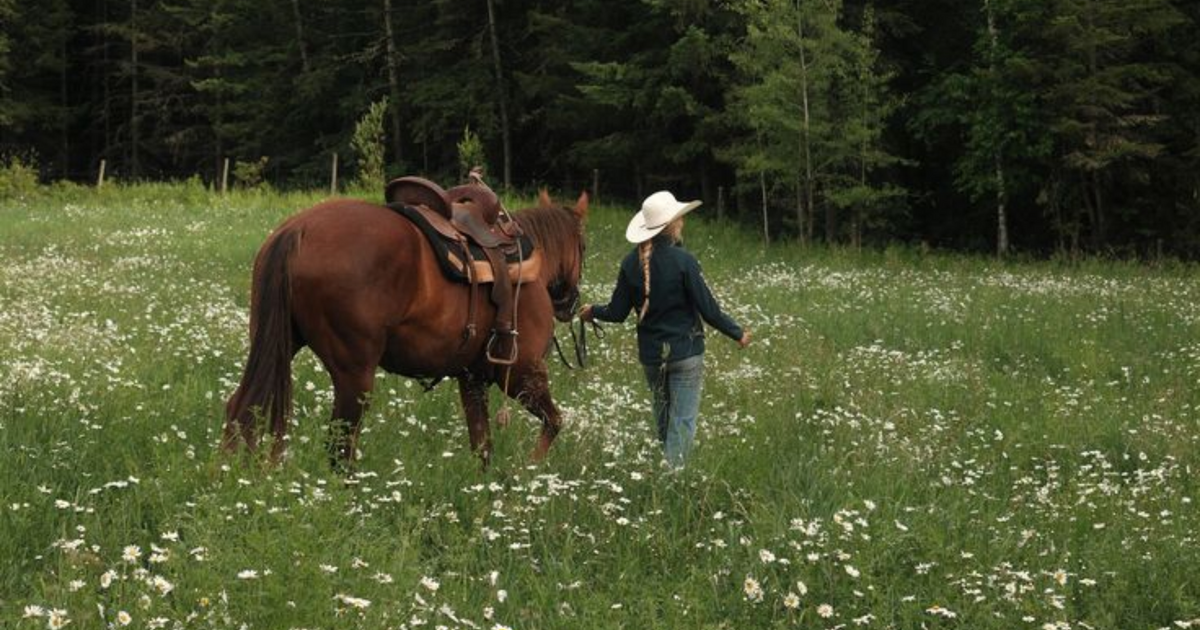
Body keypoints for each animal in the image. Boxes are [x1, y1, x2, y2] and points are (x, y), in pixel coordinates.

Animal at [222, 189, 588, 468]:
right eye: (583, 247)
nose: (570, 303)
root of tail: (298, 229)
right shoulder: (524, 375)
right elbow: (554, 422)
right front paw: (530, 470)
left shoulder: (471, 380)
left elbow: (482, 447)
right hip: (355, 376)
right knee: (341, 446)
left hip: (276, 345)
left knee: (240, 408)